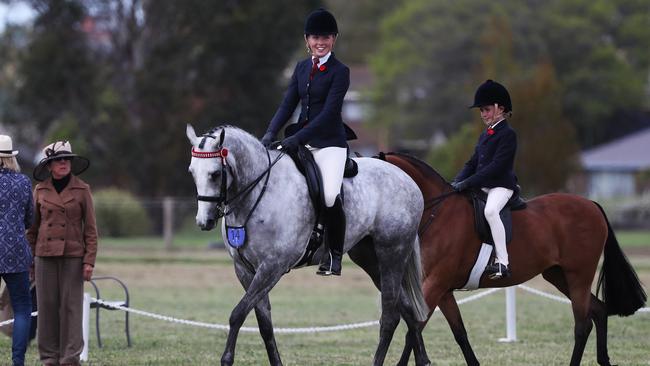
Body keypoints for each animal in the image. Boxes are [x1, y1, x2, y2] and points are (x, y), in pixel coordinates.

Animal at [185, 124, 430, 364]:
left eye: (215, 174)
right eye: (192, 173)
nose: (204, 221)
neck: (258, 194)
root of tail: (408, 180)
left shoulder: (272, 267)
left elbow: (237, 314)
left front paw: (226, 359)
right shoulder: (245, 270)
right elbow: (264, 324)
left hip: (392, 254)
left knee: (390, 316)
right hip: (371, 260)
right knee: (408, 310)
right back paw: (423, 360)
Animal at [382, 152, 644, 366]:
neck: (438, 213)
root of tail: (591, 204)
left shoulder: (436, 284)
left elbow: (414, 328)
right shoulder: (443, 289)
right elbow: (458, 333)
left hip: (578, 275)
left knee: (582, 324)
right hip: (558, 275)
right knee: (598, 310)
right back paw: (604, 360)